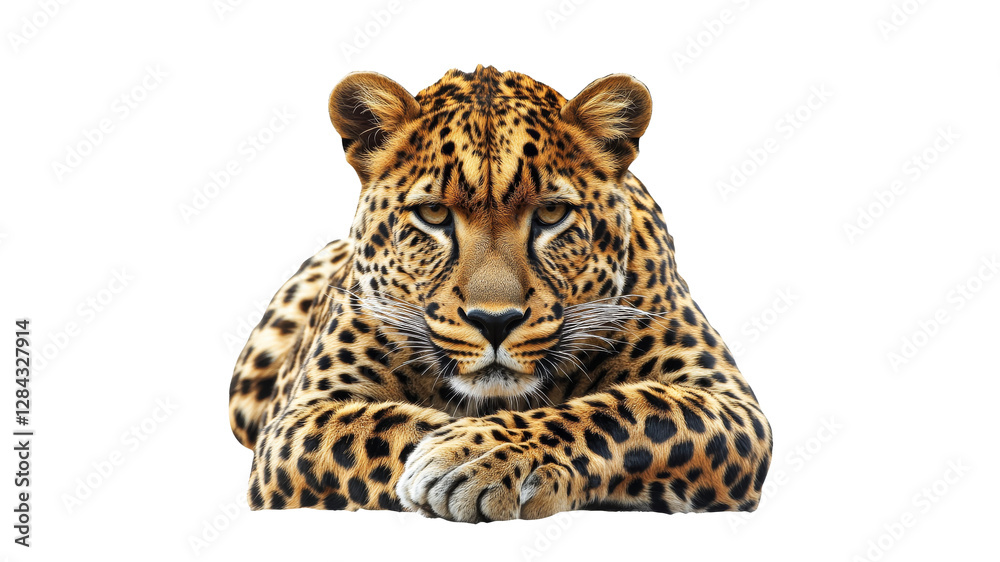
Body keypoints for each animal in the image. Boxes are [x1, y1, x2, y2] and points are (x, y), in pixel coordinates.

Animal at [228, 65, 773, 522]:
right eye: (432, 214)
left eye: (552, 214)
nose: (495, 322)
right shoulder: (297, 420)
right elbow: (386, 427)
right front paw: (462, 450)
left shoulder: (729, 403)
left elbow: (628, 412)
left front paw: (477, 456)